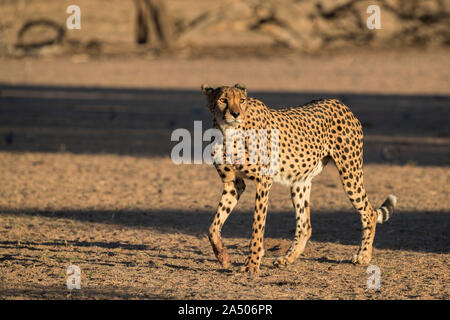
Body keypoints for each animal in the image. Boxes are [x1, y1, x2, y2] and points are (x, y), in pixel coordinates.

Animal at [201, 84, 398, 274]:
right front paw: (223, 256)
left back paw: (363, 255)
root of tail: (338, 102)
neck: (229, 132)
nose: (235, 114)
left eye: (242, 100)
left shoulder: (263, 182)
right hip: (300, 181)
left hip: (350, 172)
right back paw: (287, 258)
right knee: (305, 226)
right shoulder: (233, 184)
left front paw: (252, 265)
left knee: (369, 212)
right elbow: (212, 227)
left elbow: (257, 226)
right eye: (223, 100)